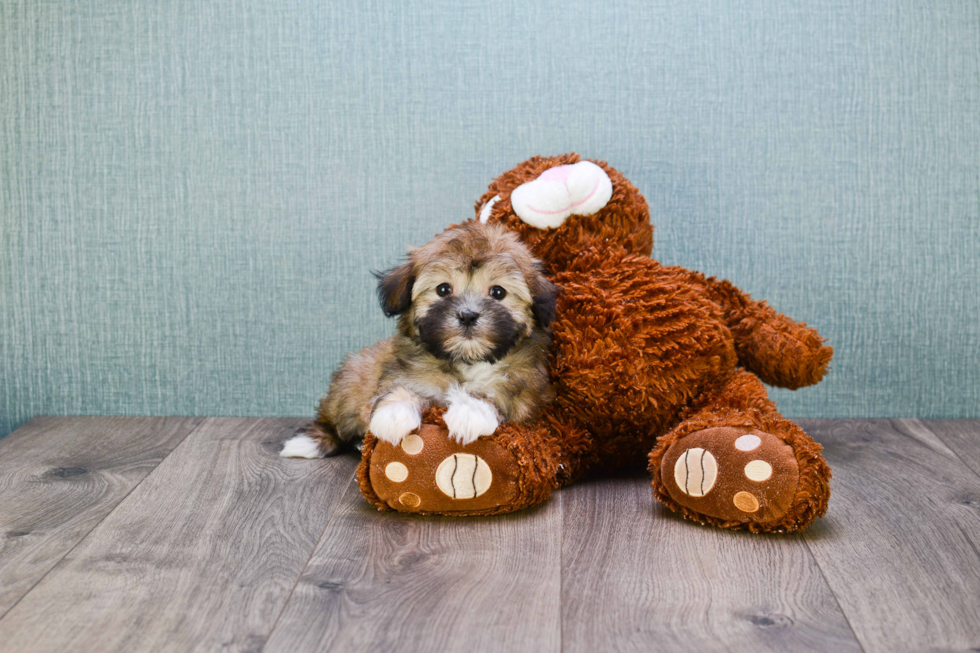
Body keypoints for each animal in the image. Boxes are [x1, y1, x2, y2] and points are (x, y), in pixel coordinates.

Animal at [284, 219, 560, 458]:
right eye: (443, 289)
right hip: (350, 385)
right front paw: (394, 414)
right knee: (333, 419)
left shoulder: (525, 390)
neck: (465, 360)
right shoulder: (404, 371)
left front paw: (470, 411)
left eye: (498, 292)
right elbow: (402, 387)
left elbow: (498, 392)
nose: (468, 315)